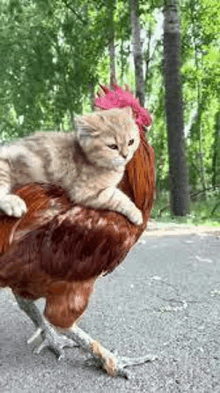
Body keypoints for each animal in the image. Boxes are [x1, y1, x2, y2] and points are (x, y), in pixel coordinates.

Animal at [0, 106, 143, 224]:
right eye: (113, 146)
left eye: (131, 142)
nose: (125, 155)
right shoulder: (85, 191)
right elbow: (119, 197)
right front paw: (136, 213)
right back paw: (13, 203)